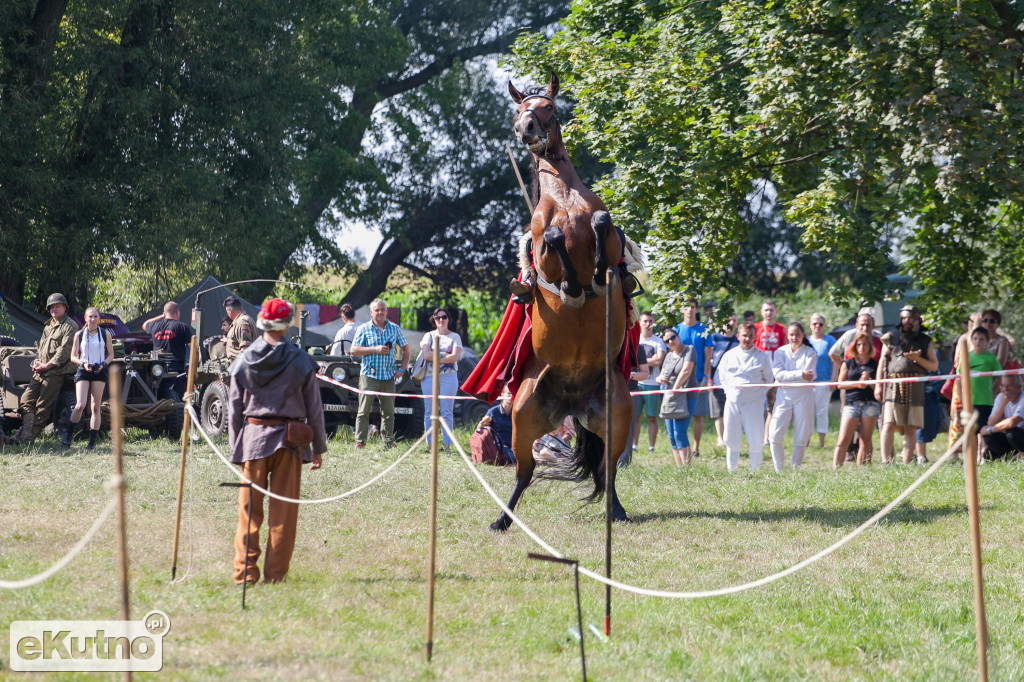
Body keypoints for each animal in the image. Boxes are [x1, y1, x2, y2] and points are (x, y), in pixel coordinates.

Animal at [487, 75, 630, 532]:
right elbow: (551, 239)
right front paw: (572, 284)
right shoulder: (545, 249)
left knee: (608, 469)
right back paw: (502, 519)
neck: (565, 198)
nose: (526, 128)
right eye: (519, 108)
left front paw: (598, 273)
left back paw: (618, 511)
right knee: (524, 473)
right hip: (522, 421)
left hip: (617, 417)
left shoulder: (608, 234)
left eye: (548, 107)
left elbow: (602, 224)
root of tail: (571, 402)